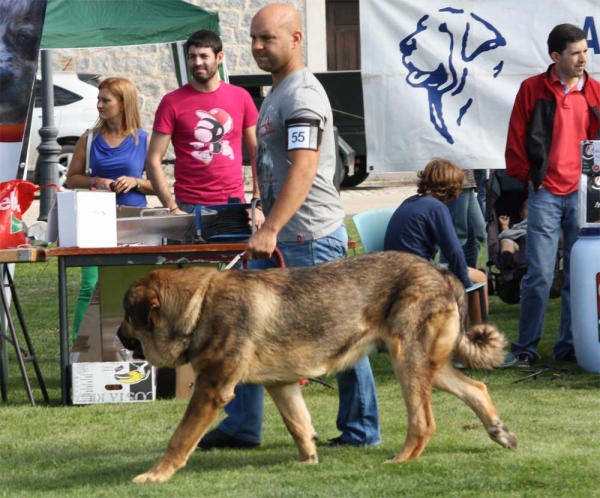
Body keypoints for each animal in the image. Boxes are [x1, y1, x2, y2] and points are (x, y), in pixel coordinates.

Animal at [116, 253, 516, 482]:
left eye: (126, 315)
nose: (118, 336)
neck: (199, 306)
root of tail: (440, 270)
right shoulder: (282, 385)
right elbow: (299, 426)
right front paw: (308, 461)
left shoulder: (211, 390)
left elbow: (180, 438)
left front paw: (155, 475)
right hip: (426, 364)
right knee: (476, 388)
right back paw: (499, 431)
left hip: (409, 363)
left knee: (423, 423)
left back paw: (402, 459)